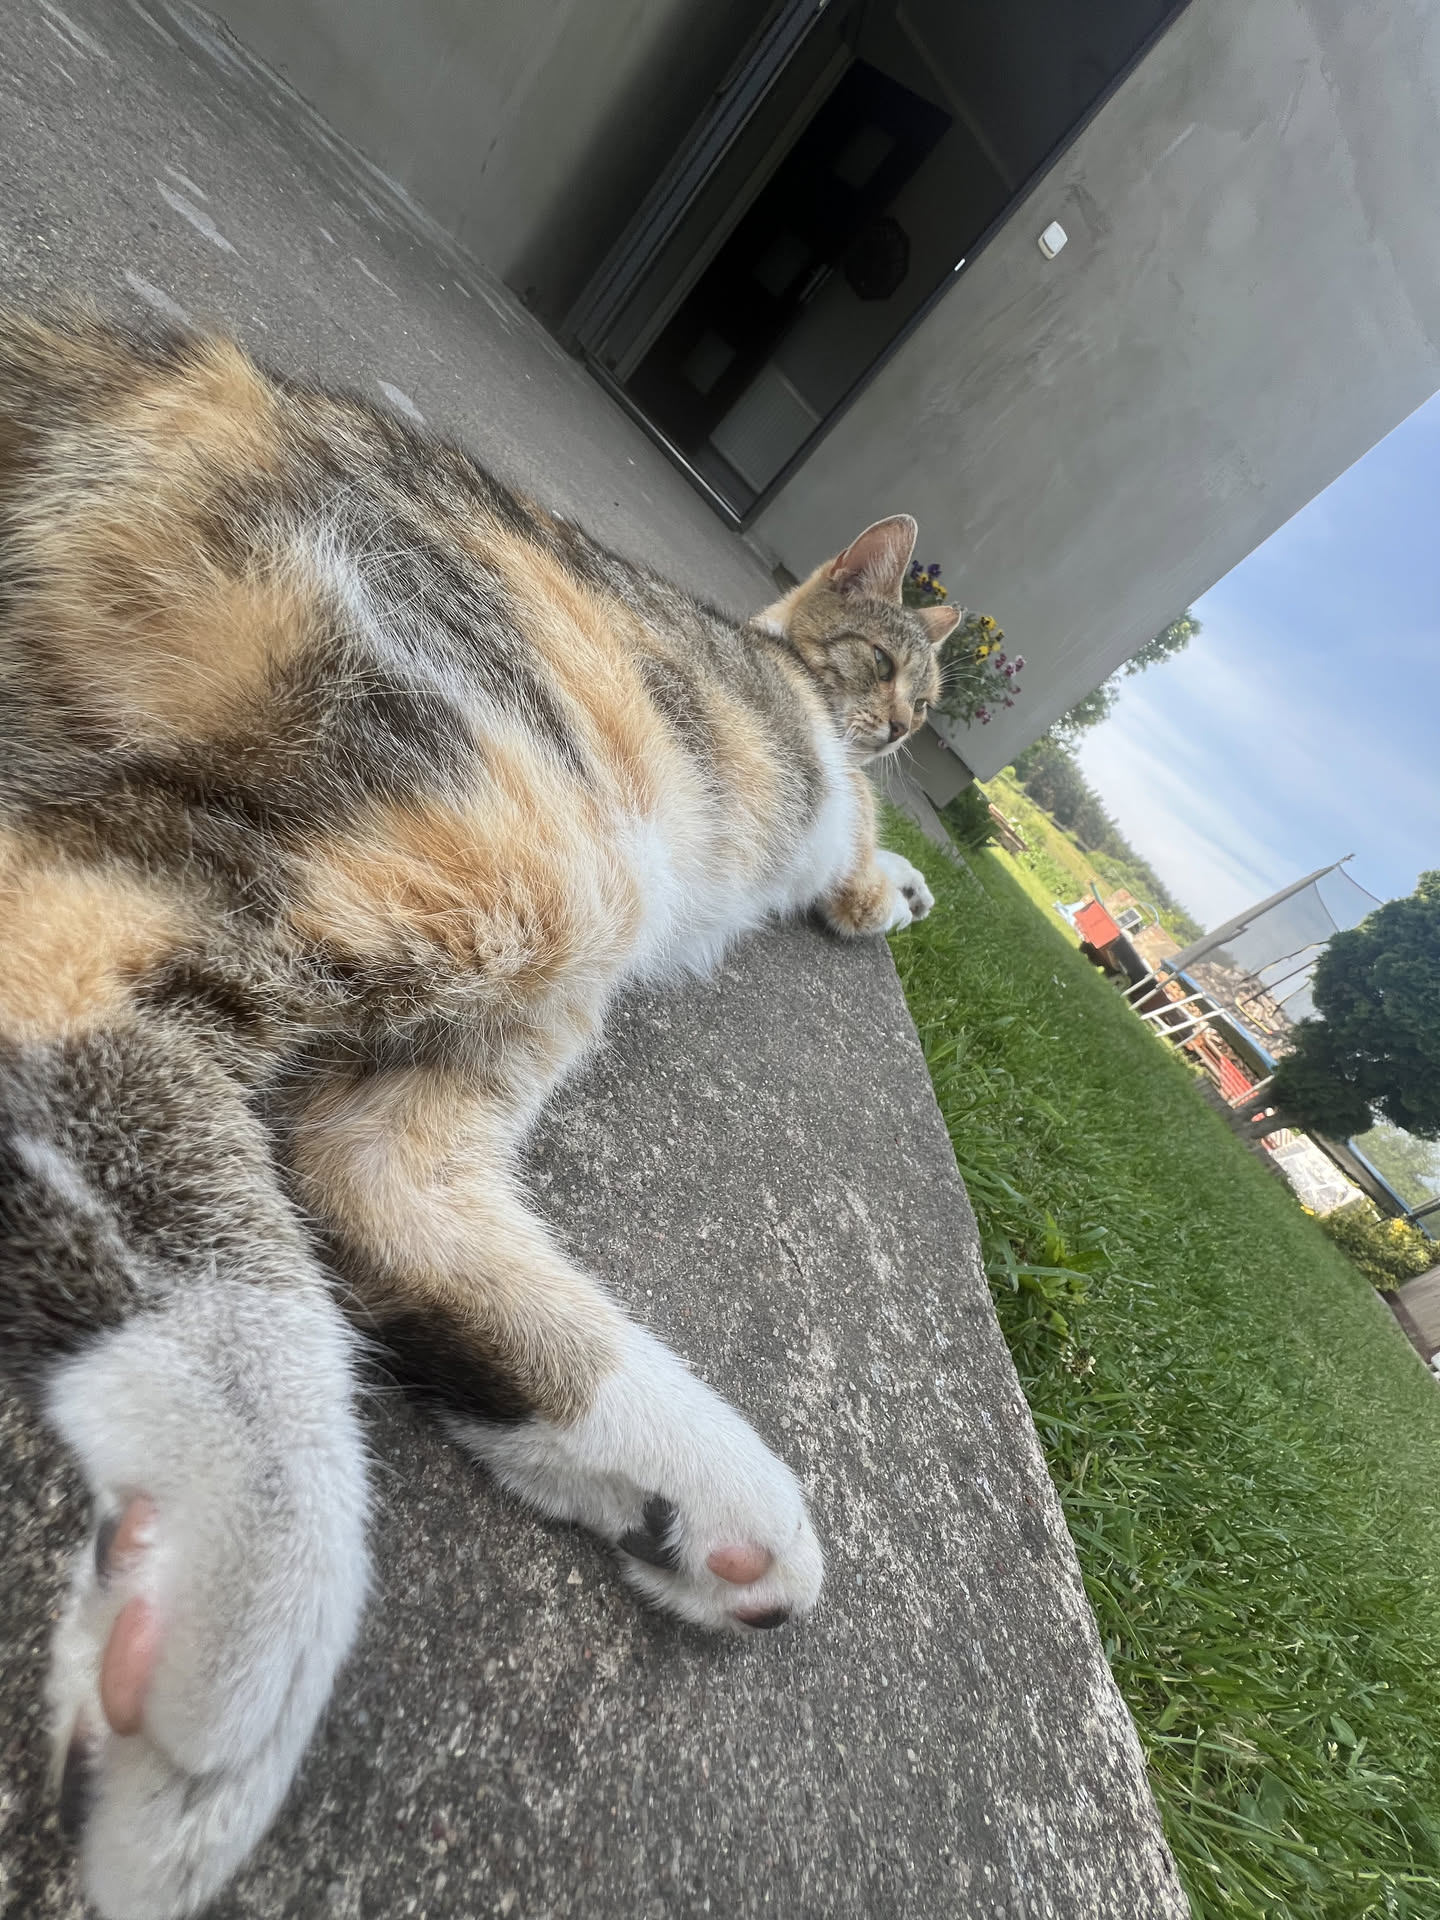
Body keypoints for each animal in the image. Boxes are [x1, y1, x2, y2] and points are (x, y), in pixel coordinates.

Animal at [0, 308, 958, 1920]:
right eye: (885, 659)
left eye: (929, 698)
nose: (896, 719)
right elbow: (850, 827)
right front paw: (880, 867)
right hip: (519, 822)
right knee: (68, 941)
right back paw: (240, 1607)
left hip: (535, 938)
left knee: (364, 1171)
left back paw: (694, 1491)